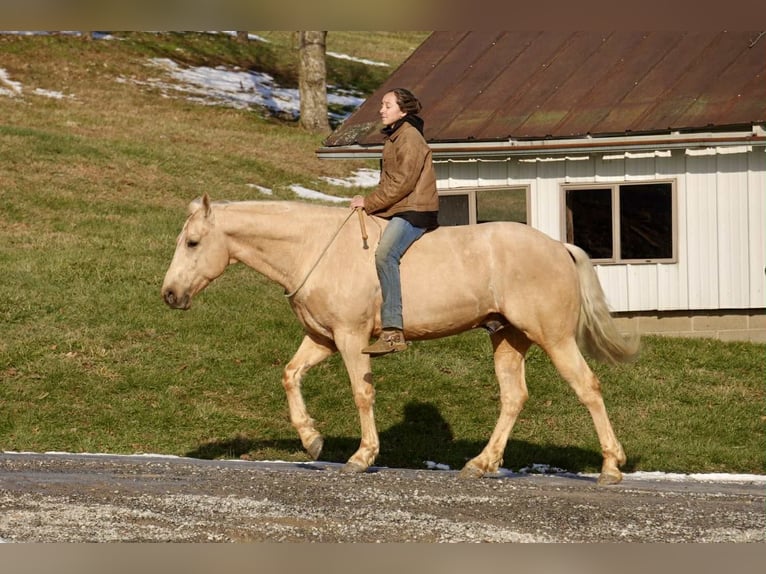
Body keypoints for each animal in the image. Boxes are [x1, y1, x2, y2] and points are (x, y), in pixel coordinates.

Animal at [161, 194, 639, 484]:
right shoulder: (322, 339)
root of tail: (560, 247)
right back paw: (481, 463)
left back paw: (611, 466)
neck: (314, 247)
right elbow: (290, 375)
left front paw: (362, 456)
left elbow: (362, 394)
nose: (169, 294)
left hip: (554, 338)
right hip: (508, 338)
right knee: (513, 398)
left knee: (588, 388)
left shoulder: (351, 338)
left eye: (193, 242)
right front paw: (311, 439)